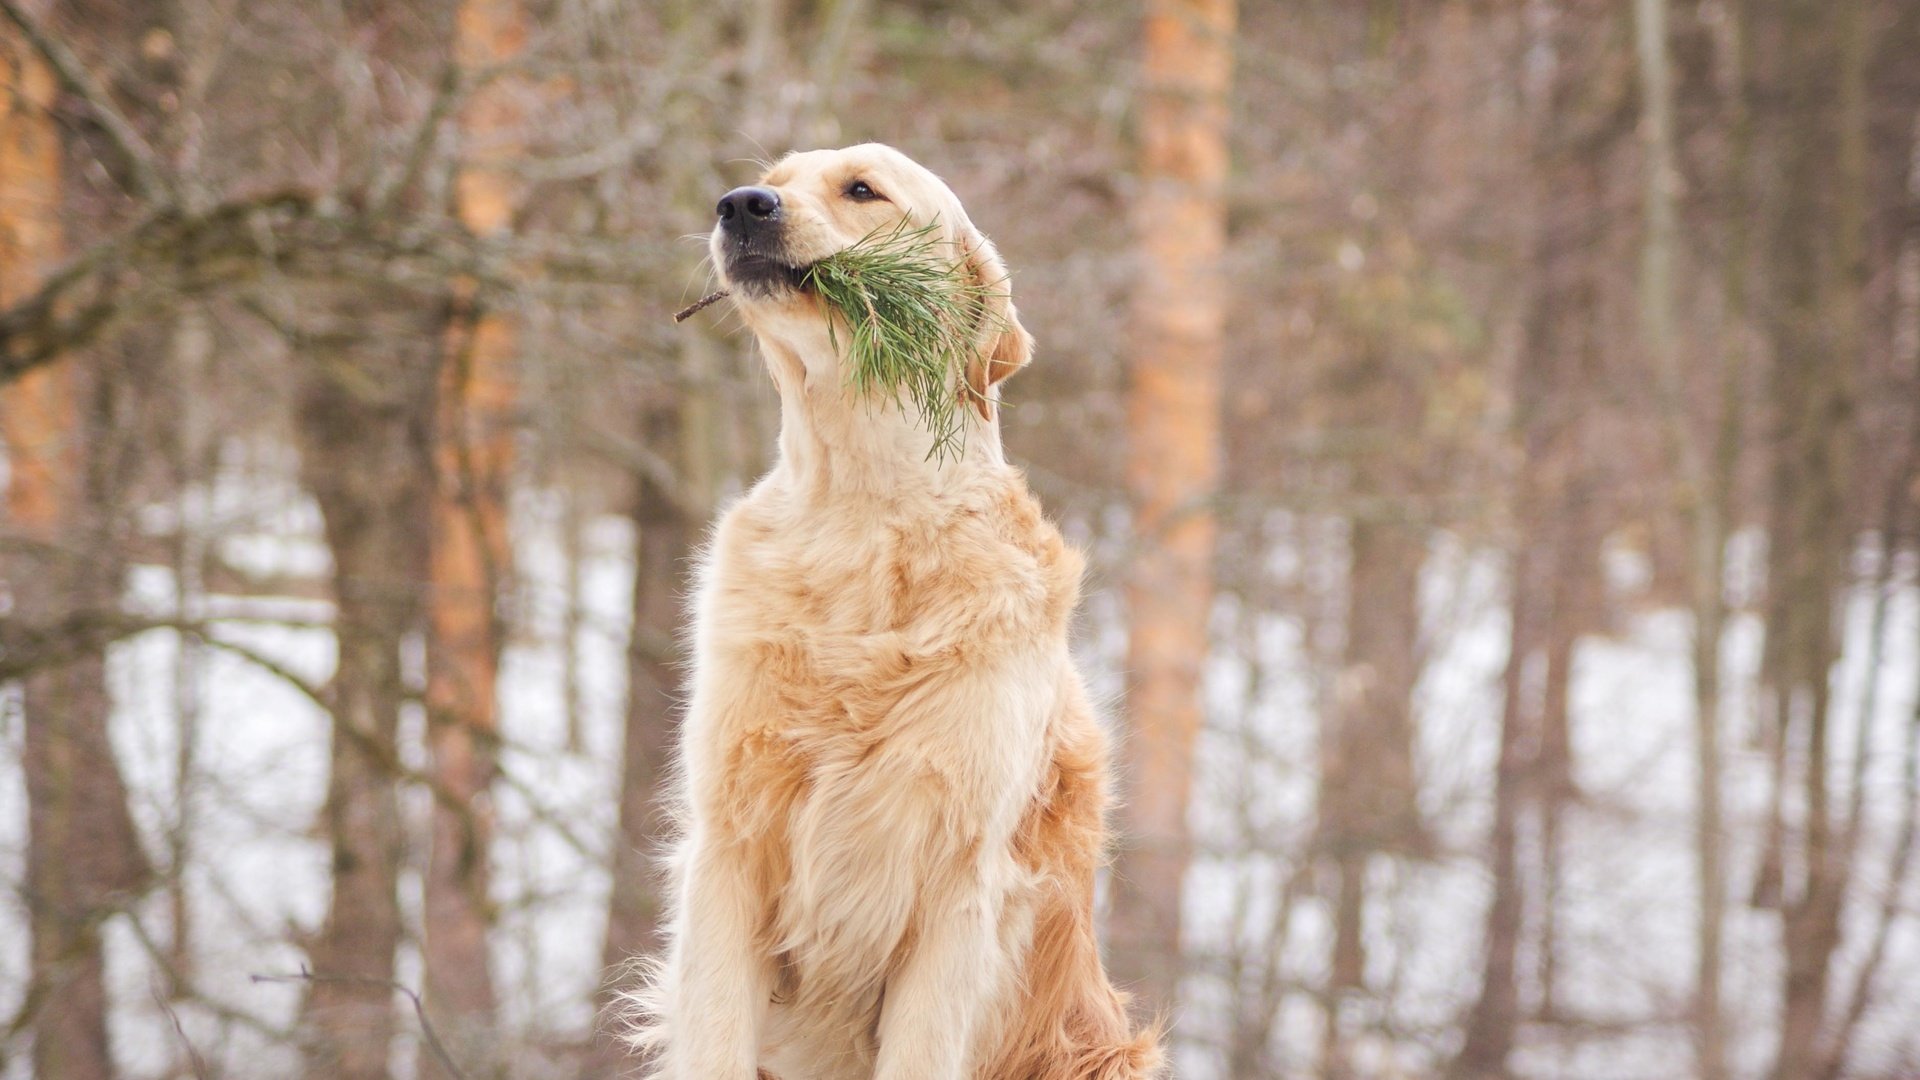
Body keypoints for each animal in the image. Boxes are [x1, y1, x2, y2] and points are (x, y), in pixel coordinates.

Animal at [637, 145, 1159, 1076]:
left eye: (862, 190)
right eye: (774, 177)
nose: (741, 204)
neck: (862, 510)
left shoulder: (959, 887)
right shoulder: (729, 849)